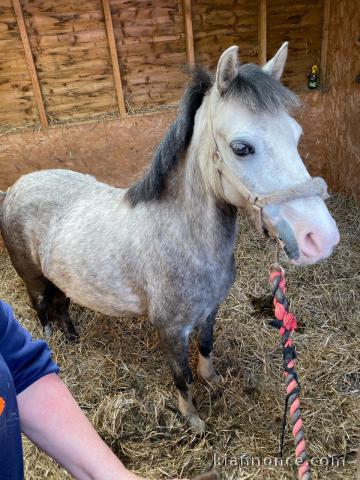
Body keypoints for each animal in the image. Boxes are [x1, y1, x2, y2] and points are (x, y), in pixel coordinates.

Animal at [0, 43, 338, 430]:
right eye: (241, 147)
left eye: (296, 135)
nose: (321, 237)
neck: (182, 238)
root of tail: (16, 187)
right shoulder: (171, 329)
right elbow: (182, 377)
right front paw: (192, 419)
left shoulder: (209, 311)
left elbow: (206, 349)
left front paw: (213, 380)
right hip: (33, 278)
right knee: (42, 308)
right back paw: (51, 342)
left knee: (61, 306)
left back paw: (72, 336)